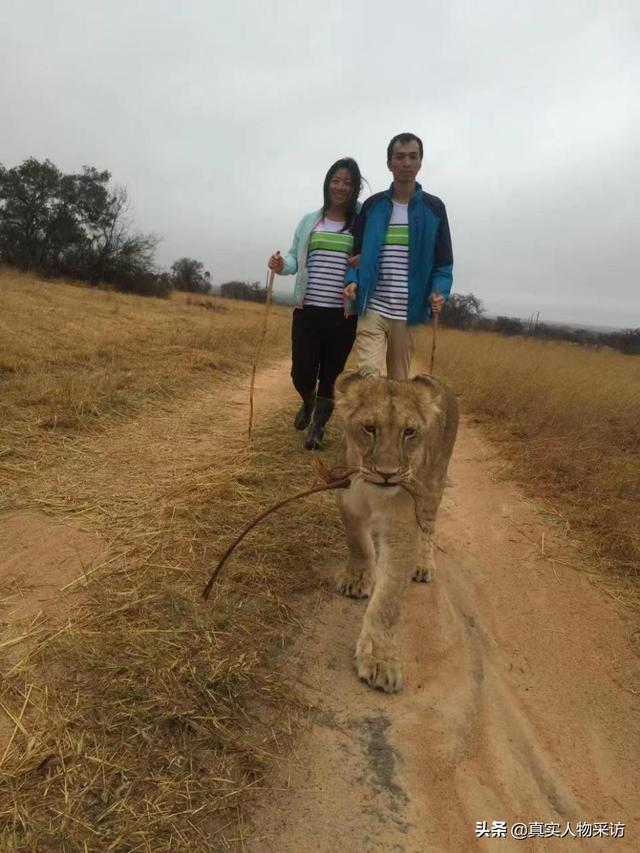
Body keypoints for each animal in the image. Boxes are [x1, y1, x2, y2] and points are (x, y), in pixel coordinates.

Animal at [332, 372, 458, 692]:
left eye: (409, 432)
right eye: (369, 428)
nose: (387, 474)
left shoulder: (402, 528)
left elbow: (387, 601)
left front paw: (379, 659)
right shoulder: (347, 502)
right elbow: (358, 544)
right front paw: (357, 579)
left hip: (433, 486)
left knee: (428, 529)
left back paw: (424, 565)